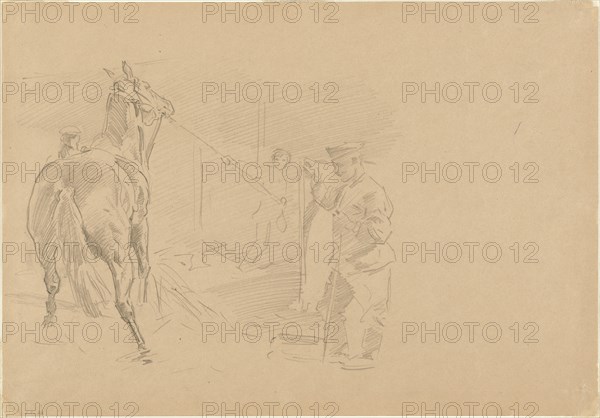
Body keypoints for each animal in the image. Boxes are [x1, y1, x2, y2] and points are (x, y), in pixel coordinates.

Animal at [27, 61, 175, 350]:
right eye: (146, 86)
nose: (167, 105)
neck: (120, 148)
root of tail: (67, 184)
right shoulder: (141, 222)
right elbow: (144, 266)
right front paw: (146, 301)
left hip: (44, 247)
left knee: (52, 283)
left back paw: (50, 322)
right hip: (117, 256)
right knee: (122, 301)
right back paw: (141, 343)